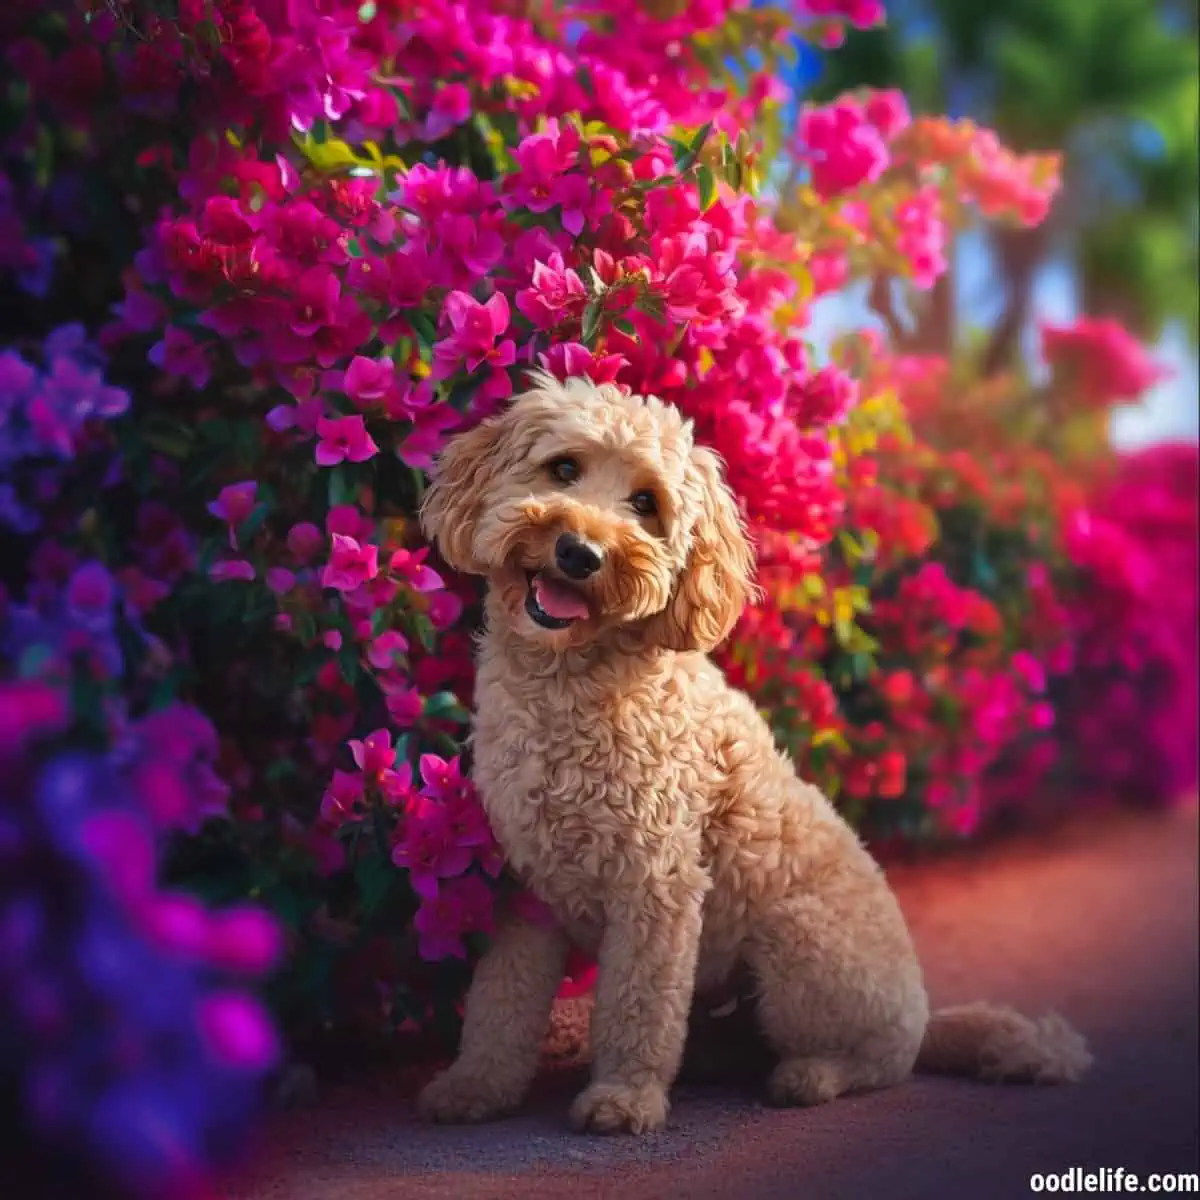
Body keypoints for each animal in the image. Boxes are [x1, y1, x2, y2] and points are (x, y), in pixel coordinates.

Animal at [417, 367, 1094, 1132]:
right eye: (563, 469)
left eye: (646, 504)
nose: (579, 553)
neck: (570, 689)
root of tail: (924, 1017)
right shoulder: (527, 889)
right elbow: (499, 1001)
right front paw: (473, 1087)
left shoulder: (657, 885)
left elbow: (637, 1005)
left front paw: (624, 1097)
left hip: (797, 942)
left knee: (878, 1062)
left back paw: (810, 1075)